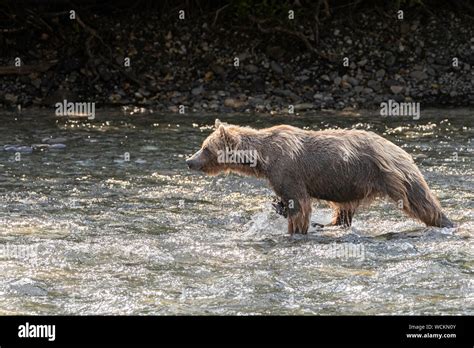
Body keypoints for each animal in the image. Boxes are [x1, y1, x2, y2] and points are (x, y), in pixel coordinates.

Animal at [186, 118, 456, 235]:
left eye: (205, 147)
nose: (189, 161)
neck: (262, 159)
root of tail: (400, 148)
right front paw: (279, 208)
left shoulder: (287, 170)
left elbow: (300, 204)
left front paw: (295, 229)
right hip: (353, 182)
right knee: (344, 210)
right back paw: (328, 224)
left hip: (391, 175)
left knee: (421, 201)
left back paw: (446, 222)